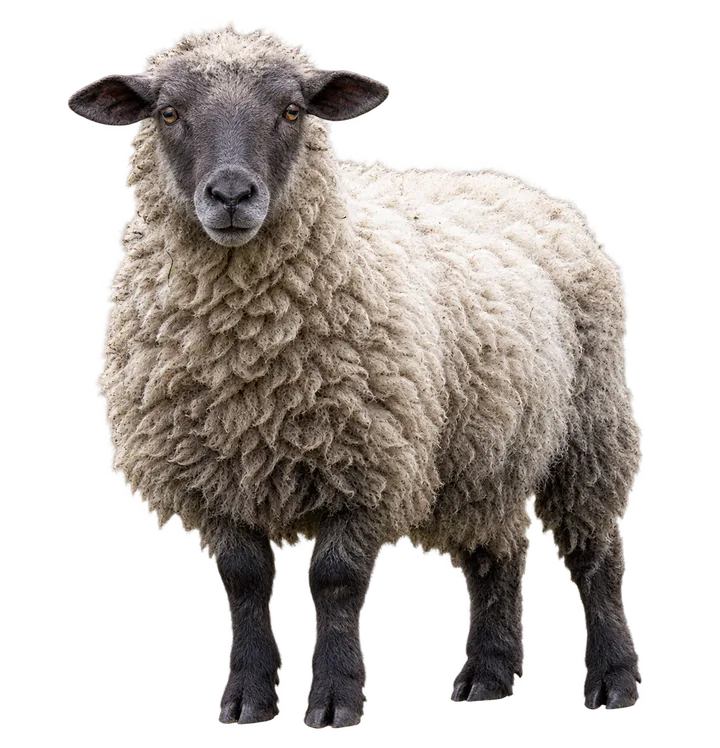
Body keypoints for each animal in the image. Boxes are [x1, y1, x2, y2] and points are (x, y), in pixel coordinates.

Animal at [70, 20, 644, 728]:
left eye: (293, 111)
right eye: (168, 113)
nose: (231, 195)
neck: (248, 367)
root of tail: (513, 178)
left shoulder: (366, 464)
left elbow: (336, 581)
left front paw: (333, 704)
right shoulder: (212, 474)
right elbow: (244, 578)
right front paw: (247, 699)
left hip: (590, 425)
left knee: (595, 556)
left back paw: (612, 681)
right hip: (491, 445)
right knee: (496, 555)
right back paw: (486, 675)